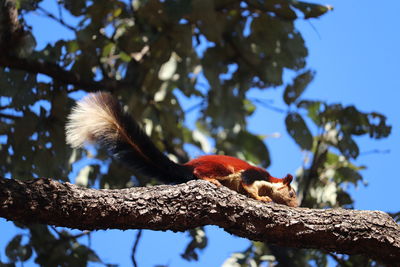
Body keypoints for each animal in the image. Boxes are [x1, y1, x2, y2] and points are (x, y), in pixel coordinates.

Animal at [65, 93, 296, 208]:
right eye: (292, 193)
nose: (295, 205)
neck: (270, 183)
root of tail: (186, 166)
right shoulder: (255, 174)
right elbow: (248, 185)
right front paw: (261, 199)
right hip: (221, 168)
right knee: (201, 173)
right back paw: (210, 179)